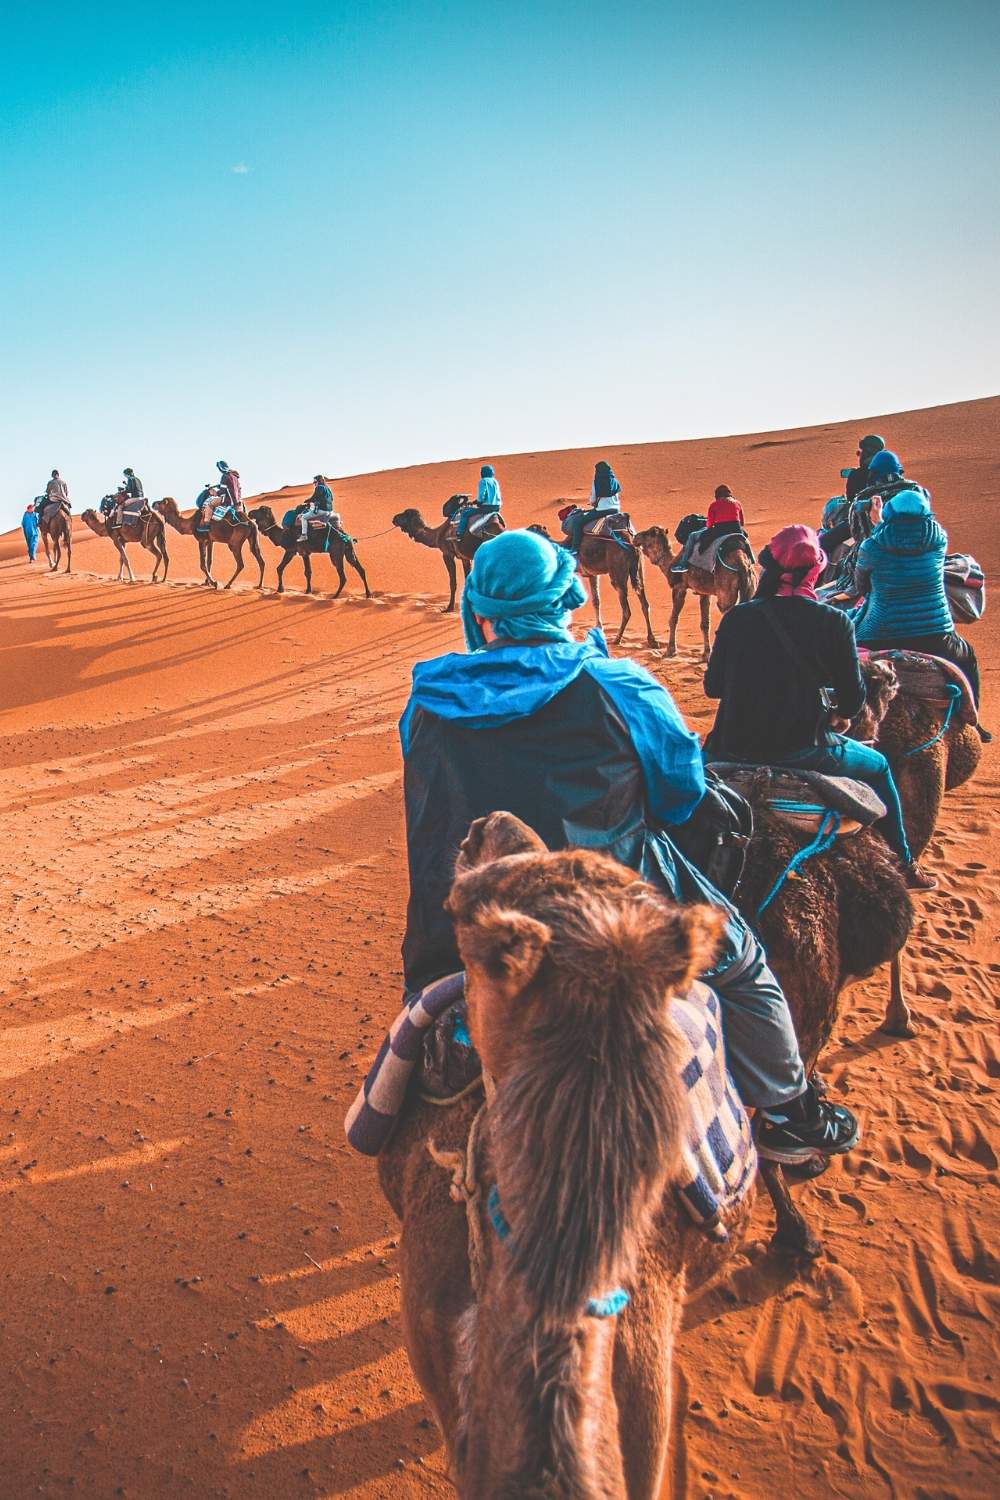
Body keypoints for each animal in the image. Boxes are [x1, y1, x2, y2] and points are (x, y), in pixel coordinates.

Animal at [638, 525, 755, 660]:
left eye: (650, 532)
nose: (636, 537)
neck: (670, 564)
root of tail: (743, 564)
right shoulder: (704, 592)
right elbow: (705, 624)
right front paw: (706, 654)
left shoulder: (679, 587)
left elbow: (673, 619)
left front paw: (670, 651)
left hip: (726, 592)